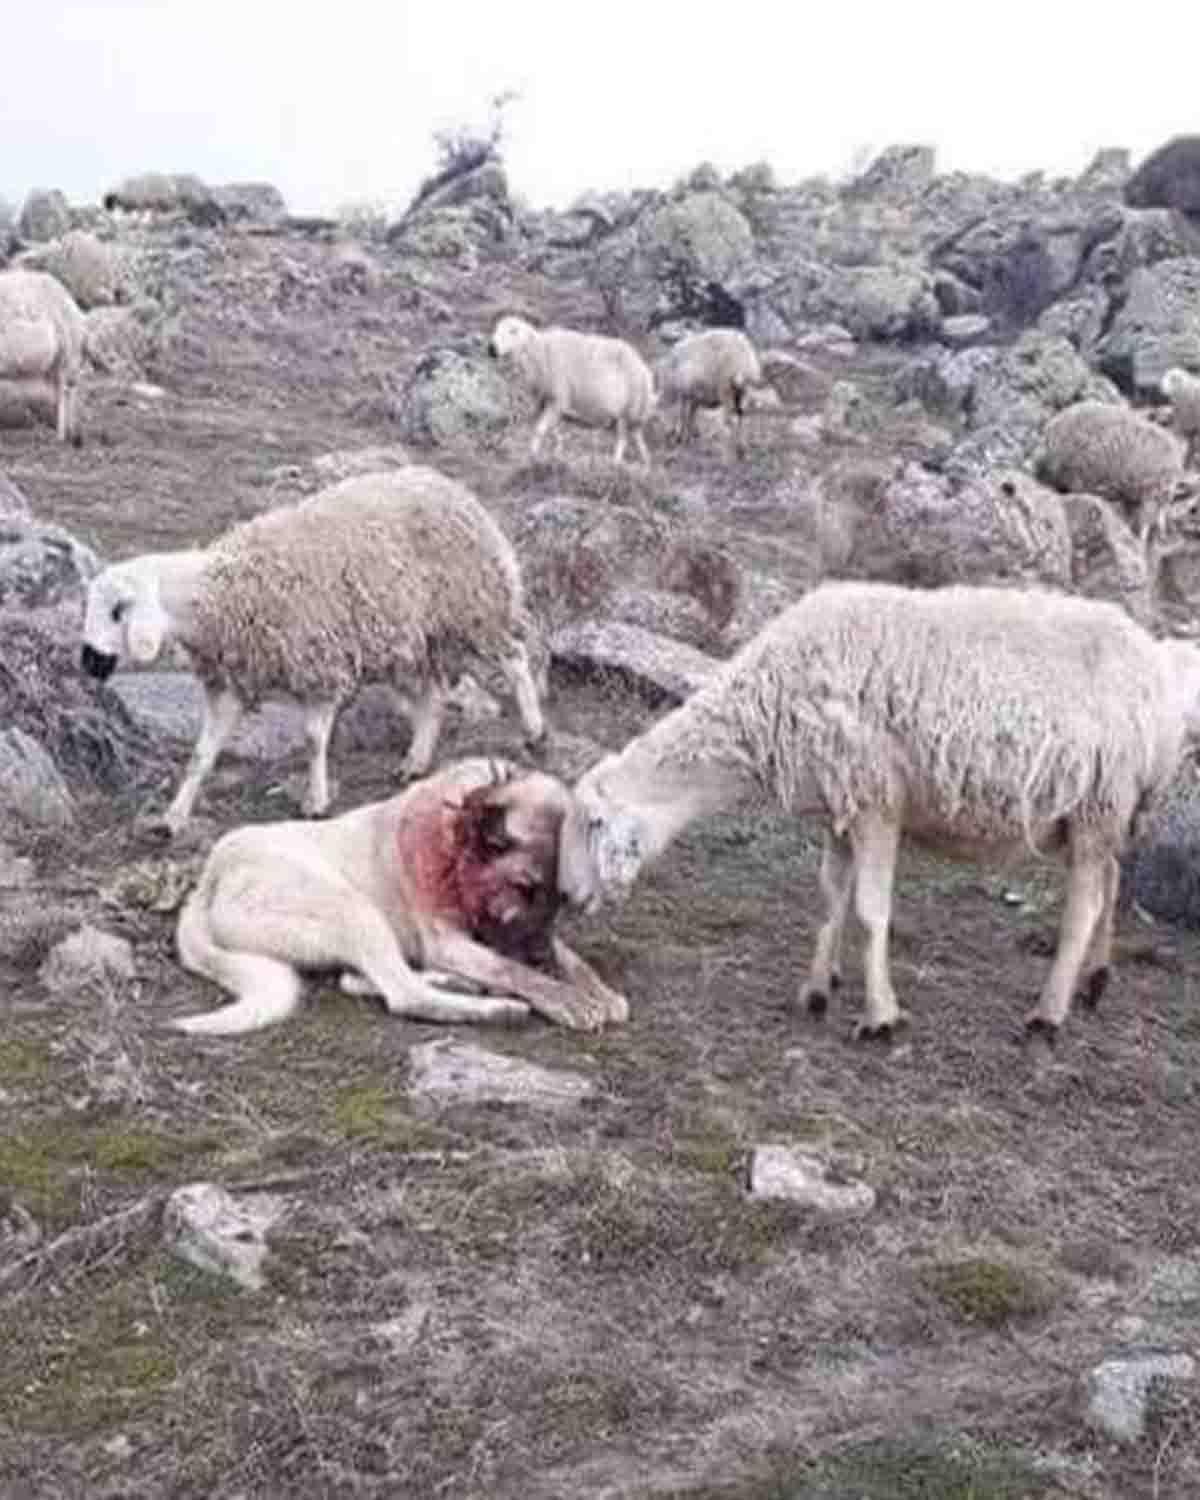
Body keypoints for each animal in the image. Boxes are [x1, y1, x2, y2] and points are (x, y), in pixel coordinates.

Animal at [80, 465, 546, 837]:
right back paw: (415, 761)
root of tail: (448, 484)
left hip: (477, 606)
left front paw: (316, 801)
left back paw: (534, 729)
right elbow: (202, 755)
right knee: (432, 696)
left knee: (515, 659)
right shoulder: (231, 683)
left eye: (118, 611)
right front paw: (174, 816)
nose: (88, 663)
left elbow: (313, 740)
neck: (222, 593)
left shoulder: (320, 666)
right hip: (416, 639)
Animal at [487, 314, 655, 465]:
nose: (491, 349)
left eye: (513, 331)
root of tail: (645, 370)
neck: (540, 351)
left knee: (622, 440)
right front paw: (557, 451)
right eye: (496, 328)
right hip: (631, 415)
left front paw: (532, 454)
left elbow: (540, 429)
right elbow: (551, 430)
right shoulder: (547, 401)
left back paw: (615, 463)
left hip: (627, 412)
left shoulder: (558, 399)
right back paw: (646, 462)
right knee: (637, 439)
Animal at [558, 580, 1200, 1044]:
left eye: (591, 824)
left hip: (1099, 803)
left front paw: (880, 1016)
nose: (566, 897)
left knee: (1084, 908)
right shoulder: (839, 810)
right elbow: (830, 899)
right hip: (1103, 813)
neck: (765, 702)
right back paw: (1095, 982)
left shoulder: (875, 804)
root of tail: (1157, 673)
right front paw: (817, 989)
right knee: (1111, 882)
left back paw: (1049, 1012)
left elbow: (869, 911)